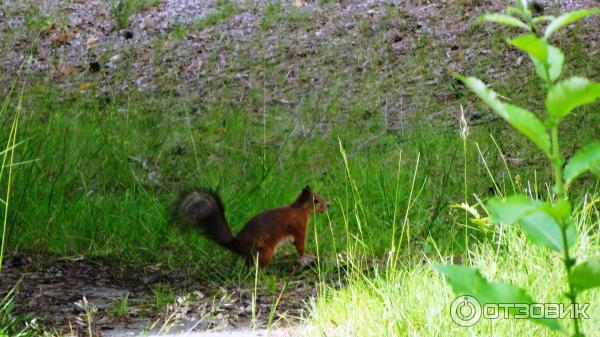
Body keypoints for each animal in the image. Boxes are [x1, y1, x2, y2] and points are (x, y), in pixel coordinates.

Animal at [173, 185, 328, 266]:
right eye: (316, 200)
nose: (328, 206)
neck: (300, 209)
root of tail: (237, 246)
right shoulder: (299, 226)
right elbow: (300, 245)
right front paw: (307, 254)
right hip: (265, 251)